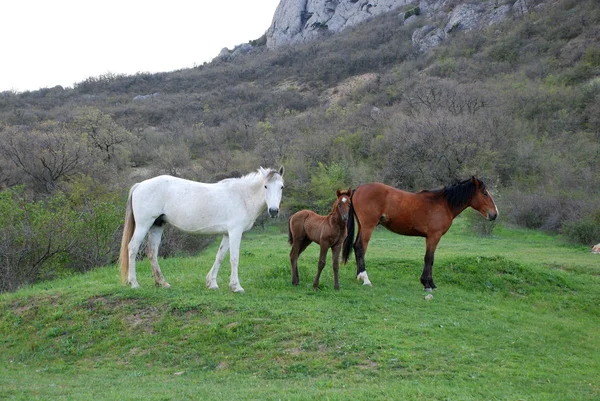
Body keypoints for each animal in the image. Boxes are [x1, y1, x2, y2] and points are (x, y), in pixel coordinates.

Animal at [120, 167, 286, 292]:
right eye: (265, 186)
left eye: (281, 187)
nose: (273, 211)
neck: (242, 196)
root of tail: (140, 185)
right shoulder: (235, 232)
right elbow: (234, 258)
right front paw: (236, 286)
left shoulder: (227, 234)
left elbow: (220, 256)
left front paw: (211, 283)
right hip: (144, 224)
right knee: (133, 248)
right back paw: (134, 283)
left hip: (156, 225)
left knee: (152, 252)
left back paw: (162, 283)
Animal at [342, 177, 496, 290]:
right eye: (484, 193)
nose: (494, 214)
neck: (444, 204)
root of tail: (358, 189)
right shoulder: (434, 236)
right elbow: (429, 258)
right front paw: (428, 283)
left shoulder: (429, 237)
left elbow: (429, 258)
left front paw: (428, 282)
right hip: (368, 226)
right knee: (361, 247)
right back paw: (365, 279)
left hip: (362, 226)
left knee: (356, 246)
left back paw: (359, 276)